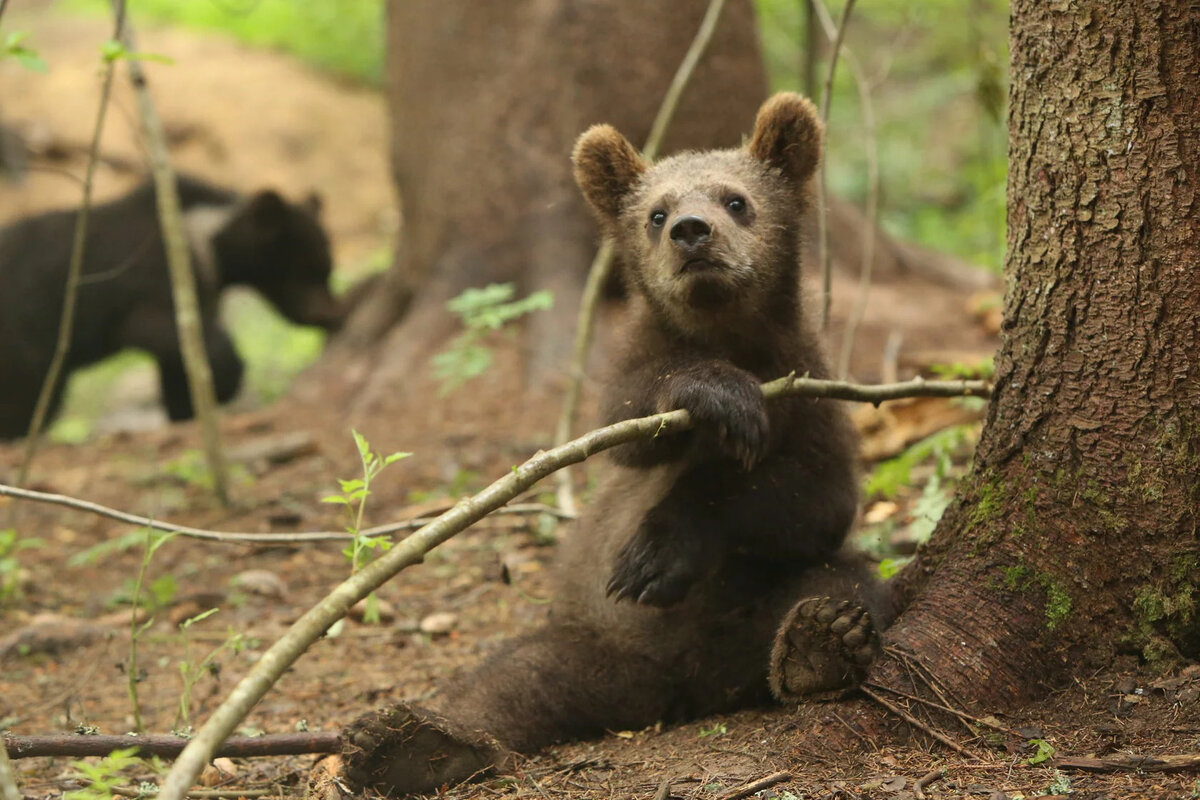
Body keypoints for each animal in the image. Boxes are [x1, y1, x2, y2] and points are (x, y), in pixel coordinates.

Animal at [0, 175, 340, 441]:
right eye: (305, 270)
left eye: (327, 269)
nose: (330, 314)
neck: (210, 249)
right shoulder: (154, 280)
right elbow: (163, 331)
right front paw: (222, 387)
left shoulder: (202, 290)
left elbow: (179, 361)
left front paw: (186, 408)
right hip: (25, 334)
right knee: (24, 390)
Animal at [333, 92, 897, 796]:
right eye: (655, 212)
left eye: (736, 199)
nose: (691, 231)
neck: (730, 336)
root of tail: (675, 687)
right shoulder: (637, 374)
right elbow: (632, 424)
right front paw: (718, 396)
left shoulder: (812, 388)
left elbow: (814, 499)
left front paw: (660, 549)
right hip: (587, 641)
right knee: (509, 682)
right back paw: (407, 744)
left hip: (739, 618)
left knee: (843, 582)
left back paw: (820, 643)